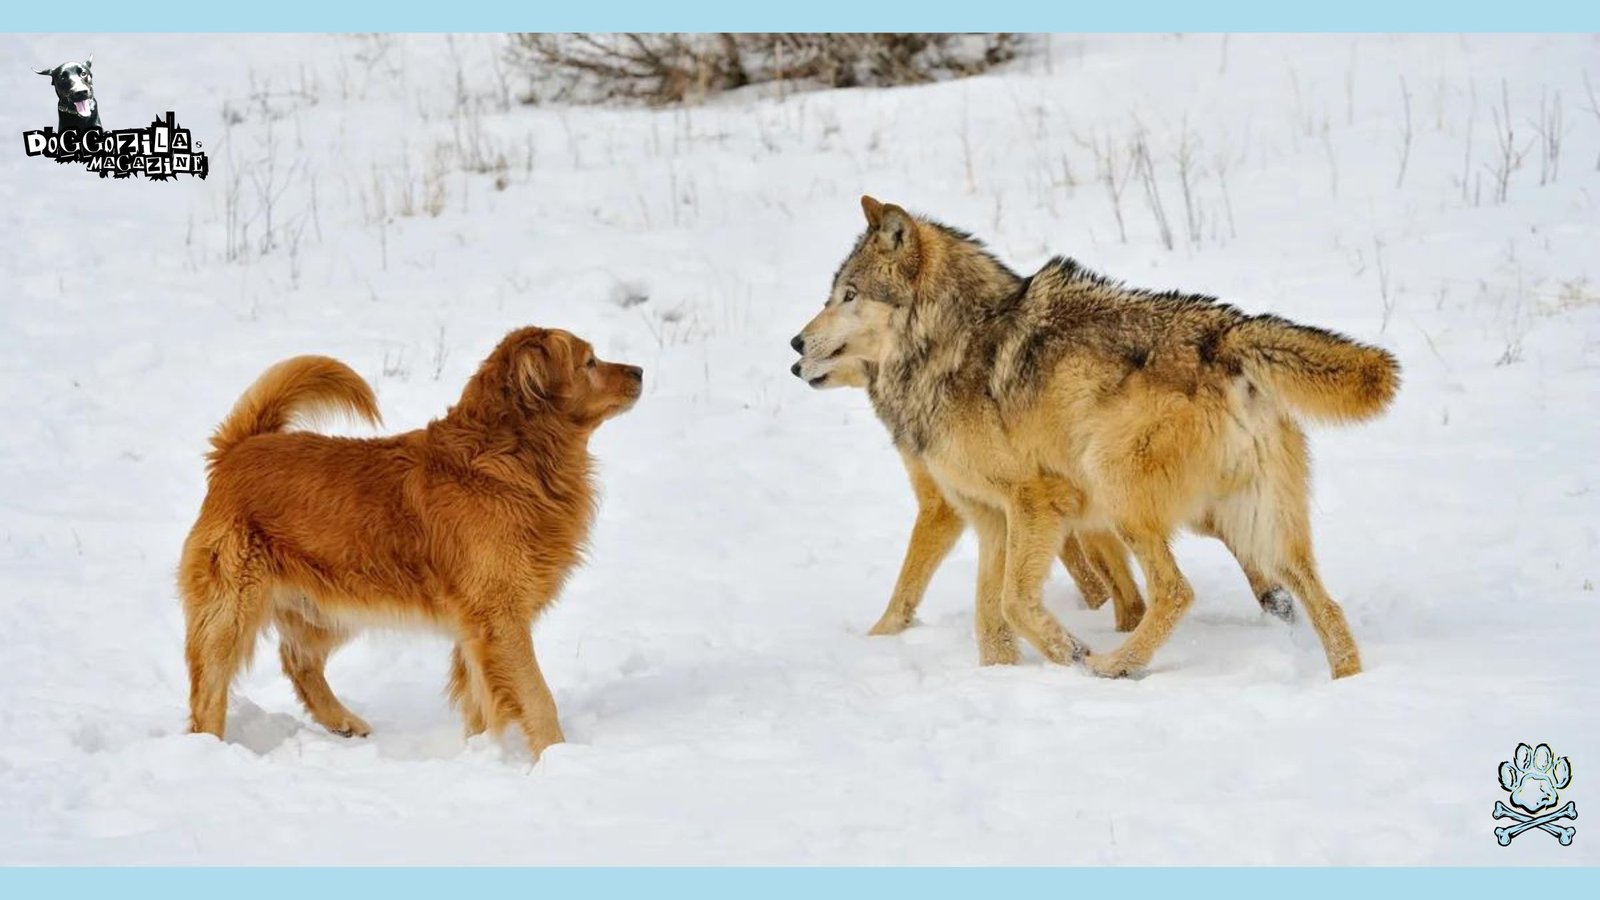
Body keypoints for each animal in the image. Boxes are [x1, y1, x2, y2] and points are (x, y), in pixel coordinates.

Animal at [178, 325, 640, 752]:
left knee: (298, 662)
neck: (506, 458)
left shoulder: (475, 631)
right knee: (208, 691)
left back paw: (342, 721)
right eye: (590, 362)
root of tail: (240, 447)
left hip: (332, 605)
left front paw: (481, 752)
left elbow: (480, 697)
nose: (639, 371)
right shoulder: (500, 617)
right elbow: (537, 697)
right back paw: (209, 748)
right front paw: (555, 755)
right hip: (232, 611)